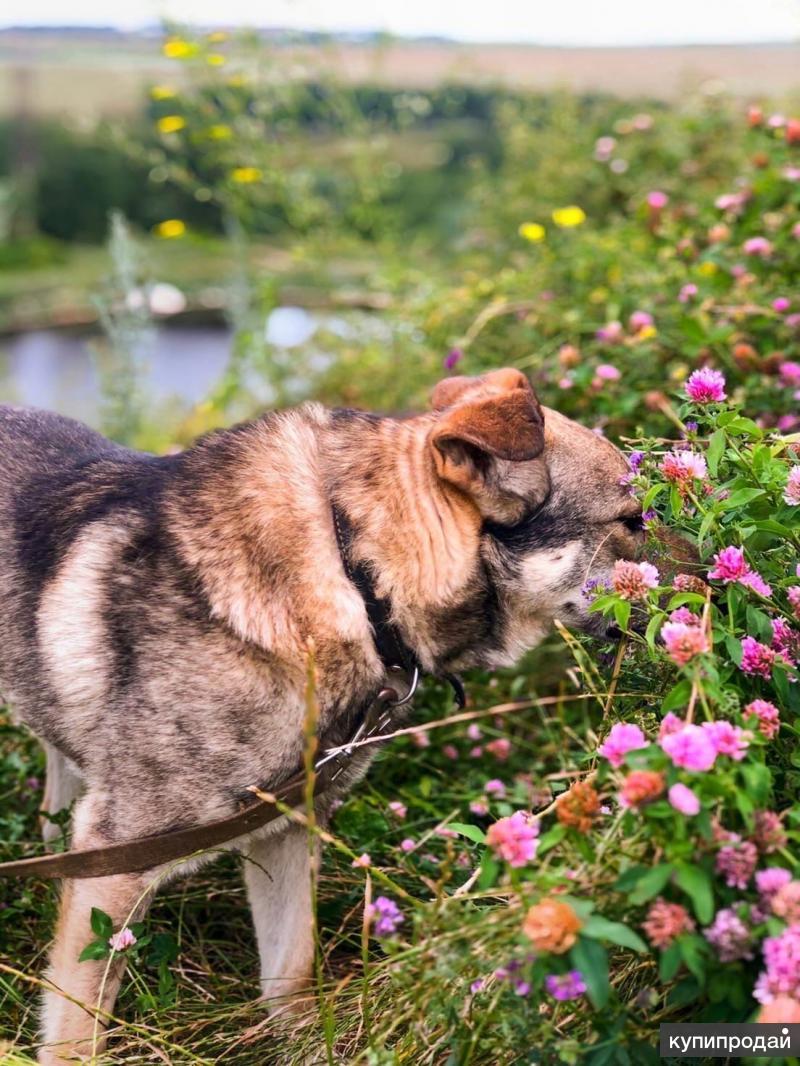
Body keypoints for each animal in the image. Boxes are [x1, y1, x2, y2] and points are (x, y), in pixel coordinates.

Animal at [0, 366, 644, 1057]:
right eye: (632, 519)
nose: (698, 586)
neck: (356, 571)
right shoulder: (117, 862)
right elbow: (76, 1035)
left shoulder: (288, 828)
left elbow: (291, 973)